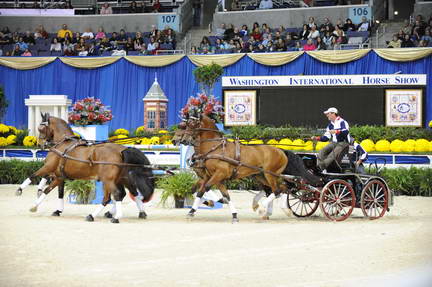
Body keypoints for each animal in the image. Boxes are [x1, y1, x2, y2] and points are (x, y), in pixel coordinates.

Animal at [16, 113, 155, 224]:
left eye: (41, 128)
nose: (40, 144)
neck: (63, 144)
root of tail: (122, 150)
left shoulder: (49, 168)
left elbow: (37, 179)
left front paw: (27, 199)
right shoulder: (59, 176)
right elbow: (58, 192)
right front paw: (58, 210)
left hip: (108, 180)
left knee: (115, 195)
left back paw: (113, 217)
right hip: (121, 179)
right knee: (129, 193)